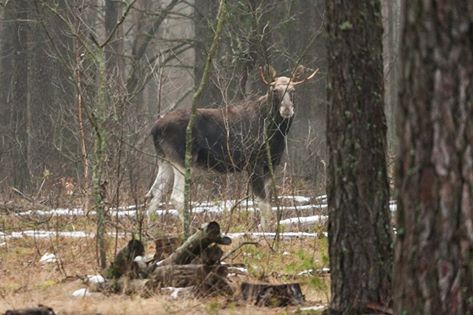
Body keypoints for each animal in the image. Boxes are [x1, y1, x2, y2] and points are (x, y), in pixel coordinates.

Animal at [147, 66, 318, 230]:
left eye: (293, 90)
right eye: (274, 90)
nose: (287, 109)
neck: (274, 131)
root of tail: (155, 128)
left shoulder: (271, 165)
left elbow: (268, 204)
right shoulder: (253, 163)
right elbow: (263, 204)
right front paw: (264, 232)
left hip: (165, 159)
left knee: (153, 194)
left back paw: (149, 230)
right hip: (182, 159)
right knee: (175, 197)